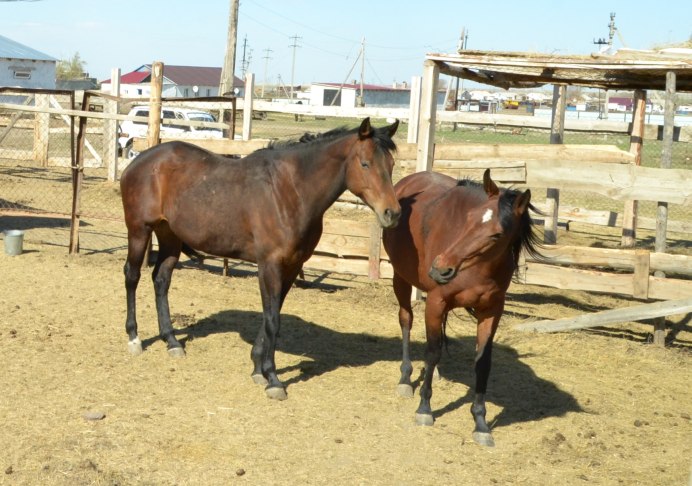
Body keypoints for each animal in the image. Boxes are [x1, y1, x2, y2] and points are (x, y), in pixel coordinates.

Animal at [119, 117, 400, 398]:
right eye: (365, 163)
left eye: (391, 165)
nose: (393, 213)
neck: (289, 191)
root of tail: (138, 160)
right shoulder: (270, 265)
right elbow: (272, 320)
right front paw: (273, 379)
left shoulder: (291, 266)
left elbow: (271, 315)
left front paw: (257, 369)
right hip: (139, 230)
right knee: (132, 276)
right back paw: (134, 338)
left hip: (170, 236)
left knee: (161, 280)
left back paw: (171, 340)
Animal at [384, 169, 540, 446]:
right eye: (468, 219)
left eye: (498, 234)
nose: (440, 268)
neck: (479, 269)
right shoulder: (436, 302)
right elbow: (433, 351)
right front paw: (425, 408)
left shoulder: (491, 311)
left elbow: (482, 362)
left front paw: (481, 422)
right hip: (400, 278)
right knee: (406, 320)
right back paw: (405, 377)